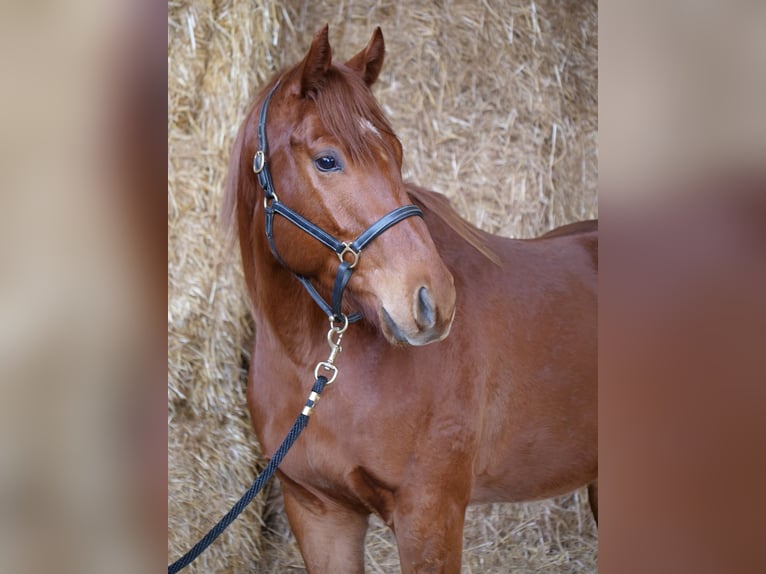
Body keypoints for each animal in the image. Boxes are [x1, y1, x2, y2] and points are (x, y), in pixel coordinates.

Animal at [224, 25, 600, 574]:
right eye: (327, 160)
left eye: (396, 154)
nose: (433, 299)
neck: (313, 364)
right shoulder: (318, 512)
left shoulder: (429, 512)